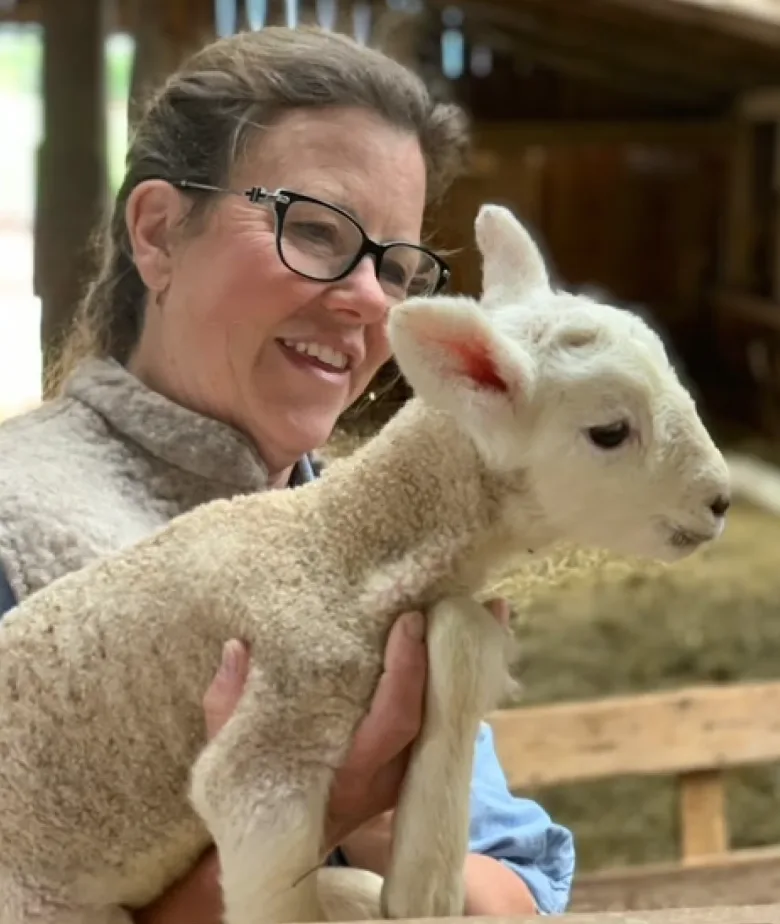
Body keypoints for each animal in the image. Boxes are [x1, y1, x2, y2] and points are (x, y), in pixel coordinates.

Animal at [0, 204, 732, 924]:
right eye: (609, 432)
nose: (720, 500)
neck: (341, 546)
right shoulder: (273, 747)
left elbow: (464, 636)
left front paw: (422, 886)